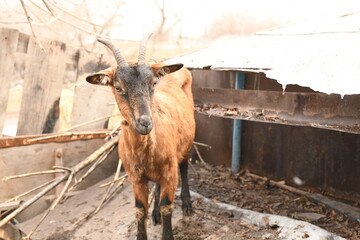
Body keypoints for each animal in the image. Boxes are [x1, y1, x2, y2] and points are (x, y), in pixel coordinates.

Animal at [86, 38, 195, 240]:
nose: (145, 122)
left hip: (188, 141)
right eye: (118, 87)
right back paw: (155, 214)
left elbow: (167, 206)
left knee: (184, 165)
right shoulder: (135, 178)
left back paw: (187, 204)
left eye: (153, 84)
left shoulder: (170, 172)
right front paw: (150, 214)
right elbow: (139, 210)